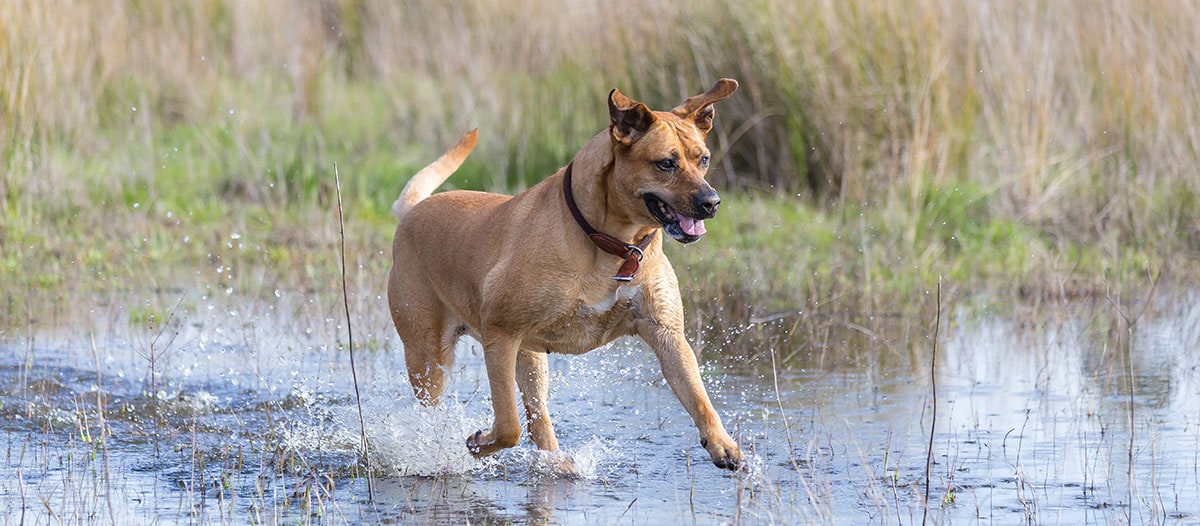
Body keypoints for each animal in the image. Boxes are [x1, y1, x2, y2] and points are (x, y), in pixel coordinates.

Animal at [386, 79, 739, 473]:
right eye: (665, 164)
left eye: (703, 159)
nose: (712, 202)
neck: (614, 243)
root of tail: (413, 210)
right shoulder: (501, 336)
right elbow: (508, 425)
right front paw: (479, 443)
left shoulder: (666, 332)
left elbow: (699, 396)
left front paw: (723, 444)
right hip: (428, 357)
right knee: (444, 412)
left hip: (529, 358)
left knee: (539, 418)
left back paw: (558, 465)